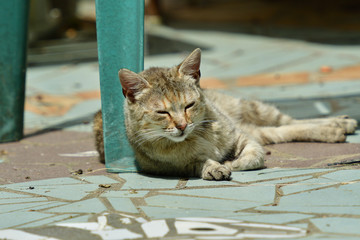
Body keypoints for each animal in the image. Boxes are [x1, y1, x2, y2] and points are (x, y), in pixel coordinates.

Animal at [93, 48, 358, 180]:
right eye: (162, 111)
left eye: (189, 105)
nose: (182, 125)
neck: (197, 135)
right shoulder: (168, 166)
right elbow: (196, 162)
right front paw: (213, 167)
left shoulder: (241, 137)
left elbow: (254, 156)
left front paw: (236, 162)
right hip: (260, 127)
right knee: (281, 131)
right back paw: (334, 129)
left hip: (254, 109)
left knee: (290, 122)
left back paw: (338, 123)